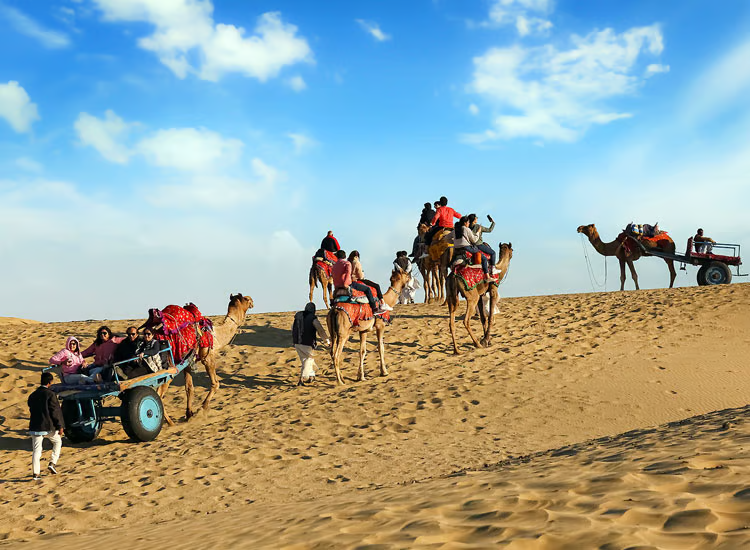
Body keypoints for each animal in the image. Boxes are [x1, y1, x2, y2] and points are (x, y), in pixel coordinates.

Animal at [157, 293, 254, 425]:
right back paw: (169, 422)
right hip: (169, 366)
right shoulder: (208, 357)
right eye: (245, 299)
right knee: (158, 393)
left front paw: (189, 414)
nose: (252, 301)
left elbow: (189, 388)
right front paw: (202, 409)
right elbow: (216, 384)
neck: (216, 336)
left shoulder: (188, 362)